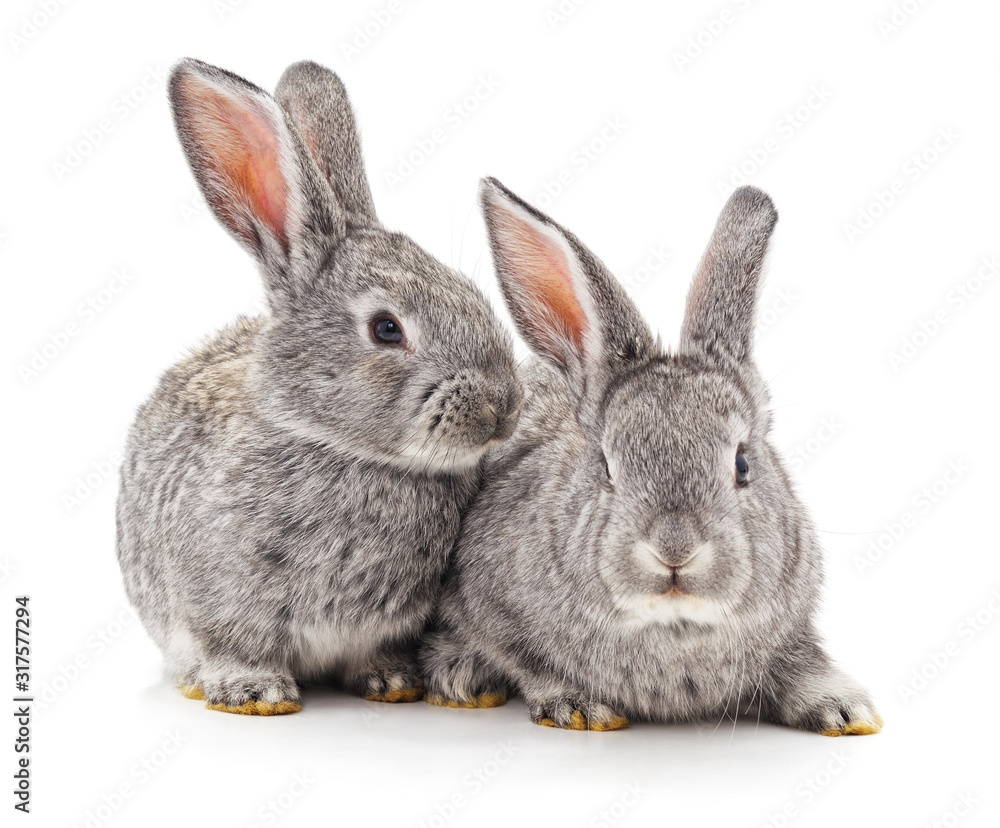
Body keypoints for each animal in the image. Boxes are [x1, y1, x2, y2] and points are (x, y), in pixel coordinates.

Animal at [115, 59, 522, 715]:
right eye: (386, 329)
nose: (502, 409)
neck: (338, 446)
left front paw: (391, 682)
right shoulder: (220, 604)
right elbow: (233, 644)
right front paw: (254, 692)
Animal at [420, 179, 883, 736]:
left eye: (742, 464)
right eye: (606, 467)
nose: (674, 550)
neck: (674, 625)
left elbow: (799, 663)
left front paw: (845, 710)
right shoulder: (485, 602)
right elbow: (526, 660)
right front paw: (576, 704)